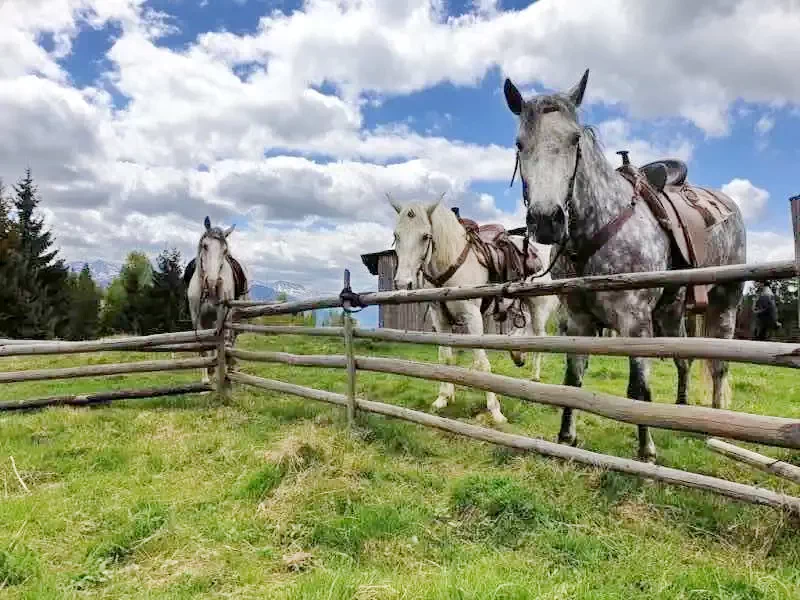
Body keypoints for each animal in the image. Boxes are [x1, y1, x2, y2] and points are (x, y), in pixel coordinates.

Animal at [184, 216, 247, 384]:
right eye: (205, 246)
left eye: (224, 250)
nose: (212, 282)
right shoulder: (197, 318)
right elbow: (204, 347)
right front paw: (206, 378)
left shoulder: (223, 315)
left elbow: (222, 343)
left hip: (233, 315)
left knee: (231, 339)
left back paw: (230, 367)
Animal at [390, 197, 560, 422]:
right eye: (396, 235)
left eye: (425, 236)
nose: (403, 283)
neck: (451, 264)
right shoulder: (440, 320)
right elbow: (445, 358)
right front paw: (443, 398)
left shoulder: (473, 319)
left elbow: (481, 363)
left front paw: (495, 411)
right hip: (518, 306)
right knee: (524, 329)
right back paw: (517, 354)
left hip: (538, 307)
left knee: (539, 338)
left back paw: (534, 379)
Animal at [504, 69, 748, 464]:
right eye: (520, 144)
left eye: (574, 139)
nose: (546, 220)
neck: (597, 227)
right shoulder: (578, 320)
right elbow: (573, 380)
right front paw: (566, 437)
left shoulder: (634, 321)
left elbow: (639, 389)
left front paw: (646, 451)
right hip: (672, 313)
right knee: (684, 360)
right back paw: (681, 409)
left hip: (726, 301)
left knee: (719, 364)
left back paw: (716, 422)